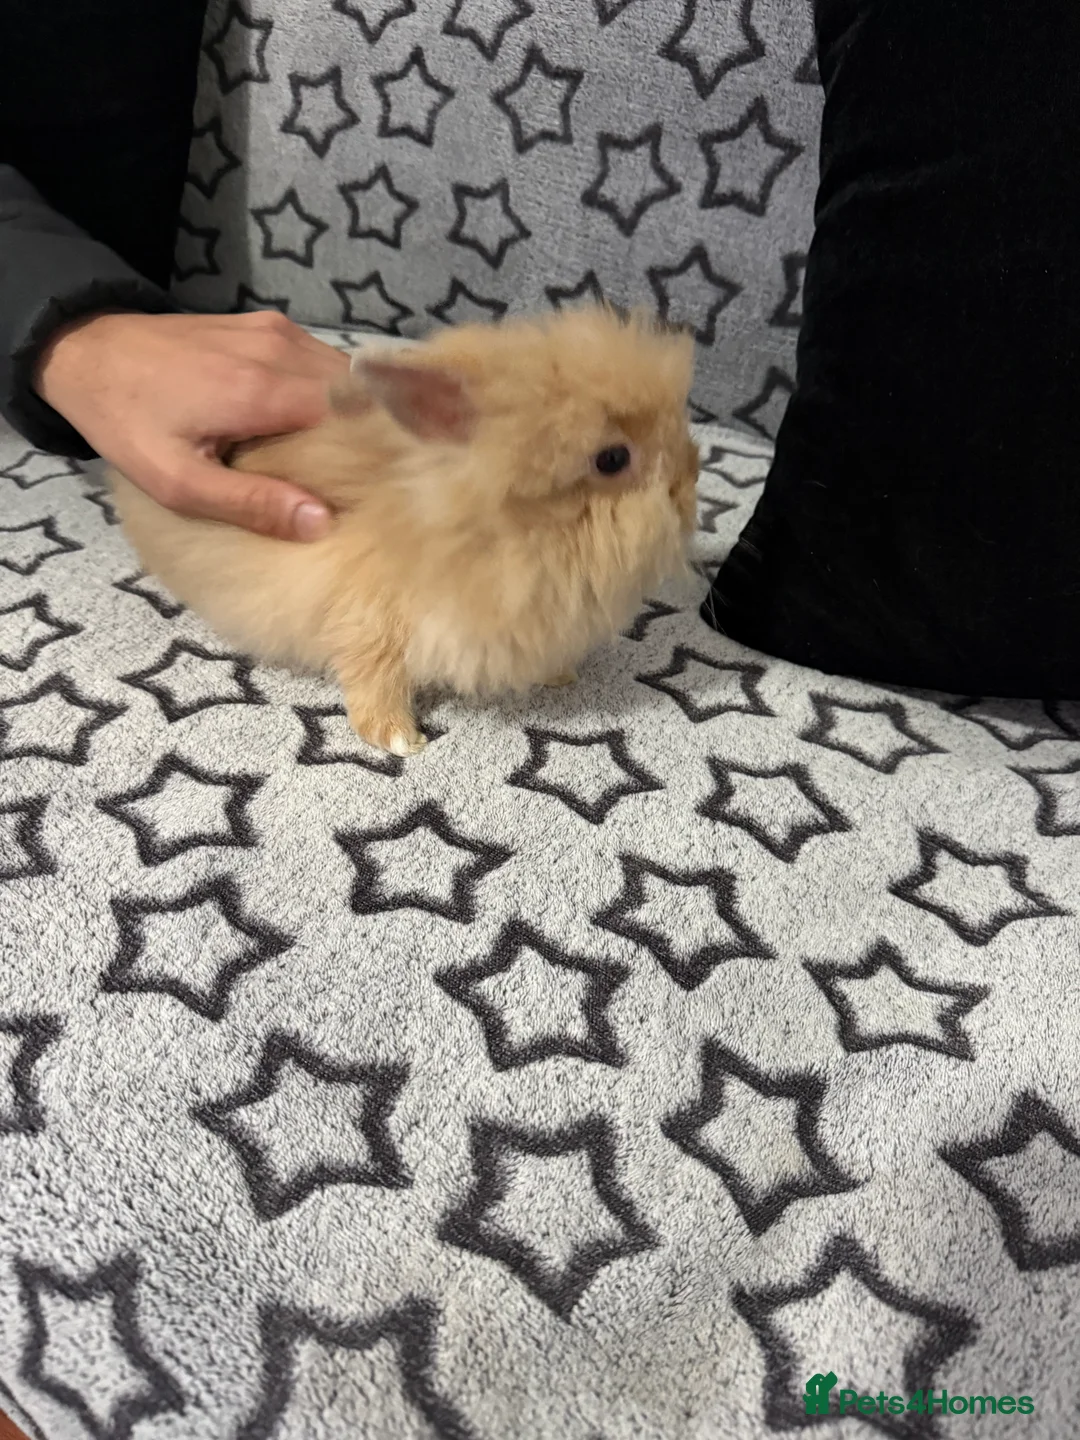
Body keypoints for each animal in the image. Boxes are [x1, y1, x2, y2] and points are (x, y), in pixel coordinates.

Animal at [109, 304, 701, 756]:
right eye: (612, 459)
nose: (691, 481)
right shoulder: (368, 615)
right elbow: (375, 676)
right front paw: (398, 740)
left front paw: (560, 676)